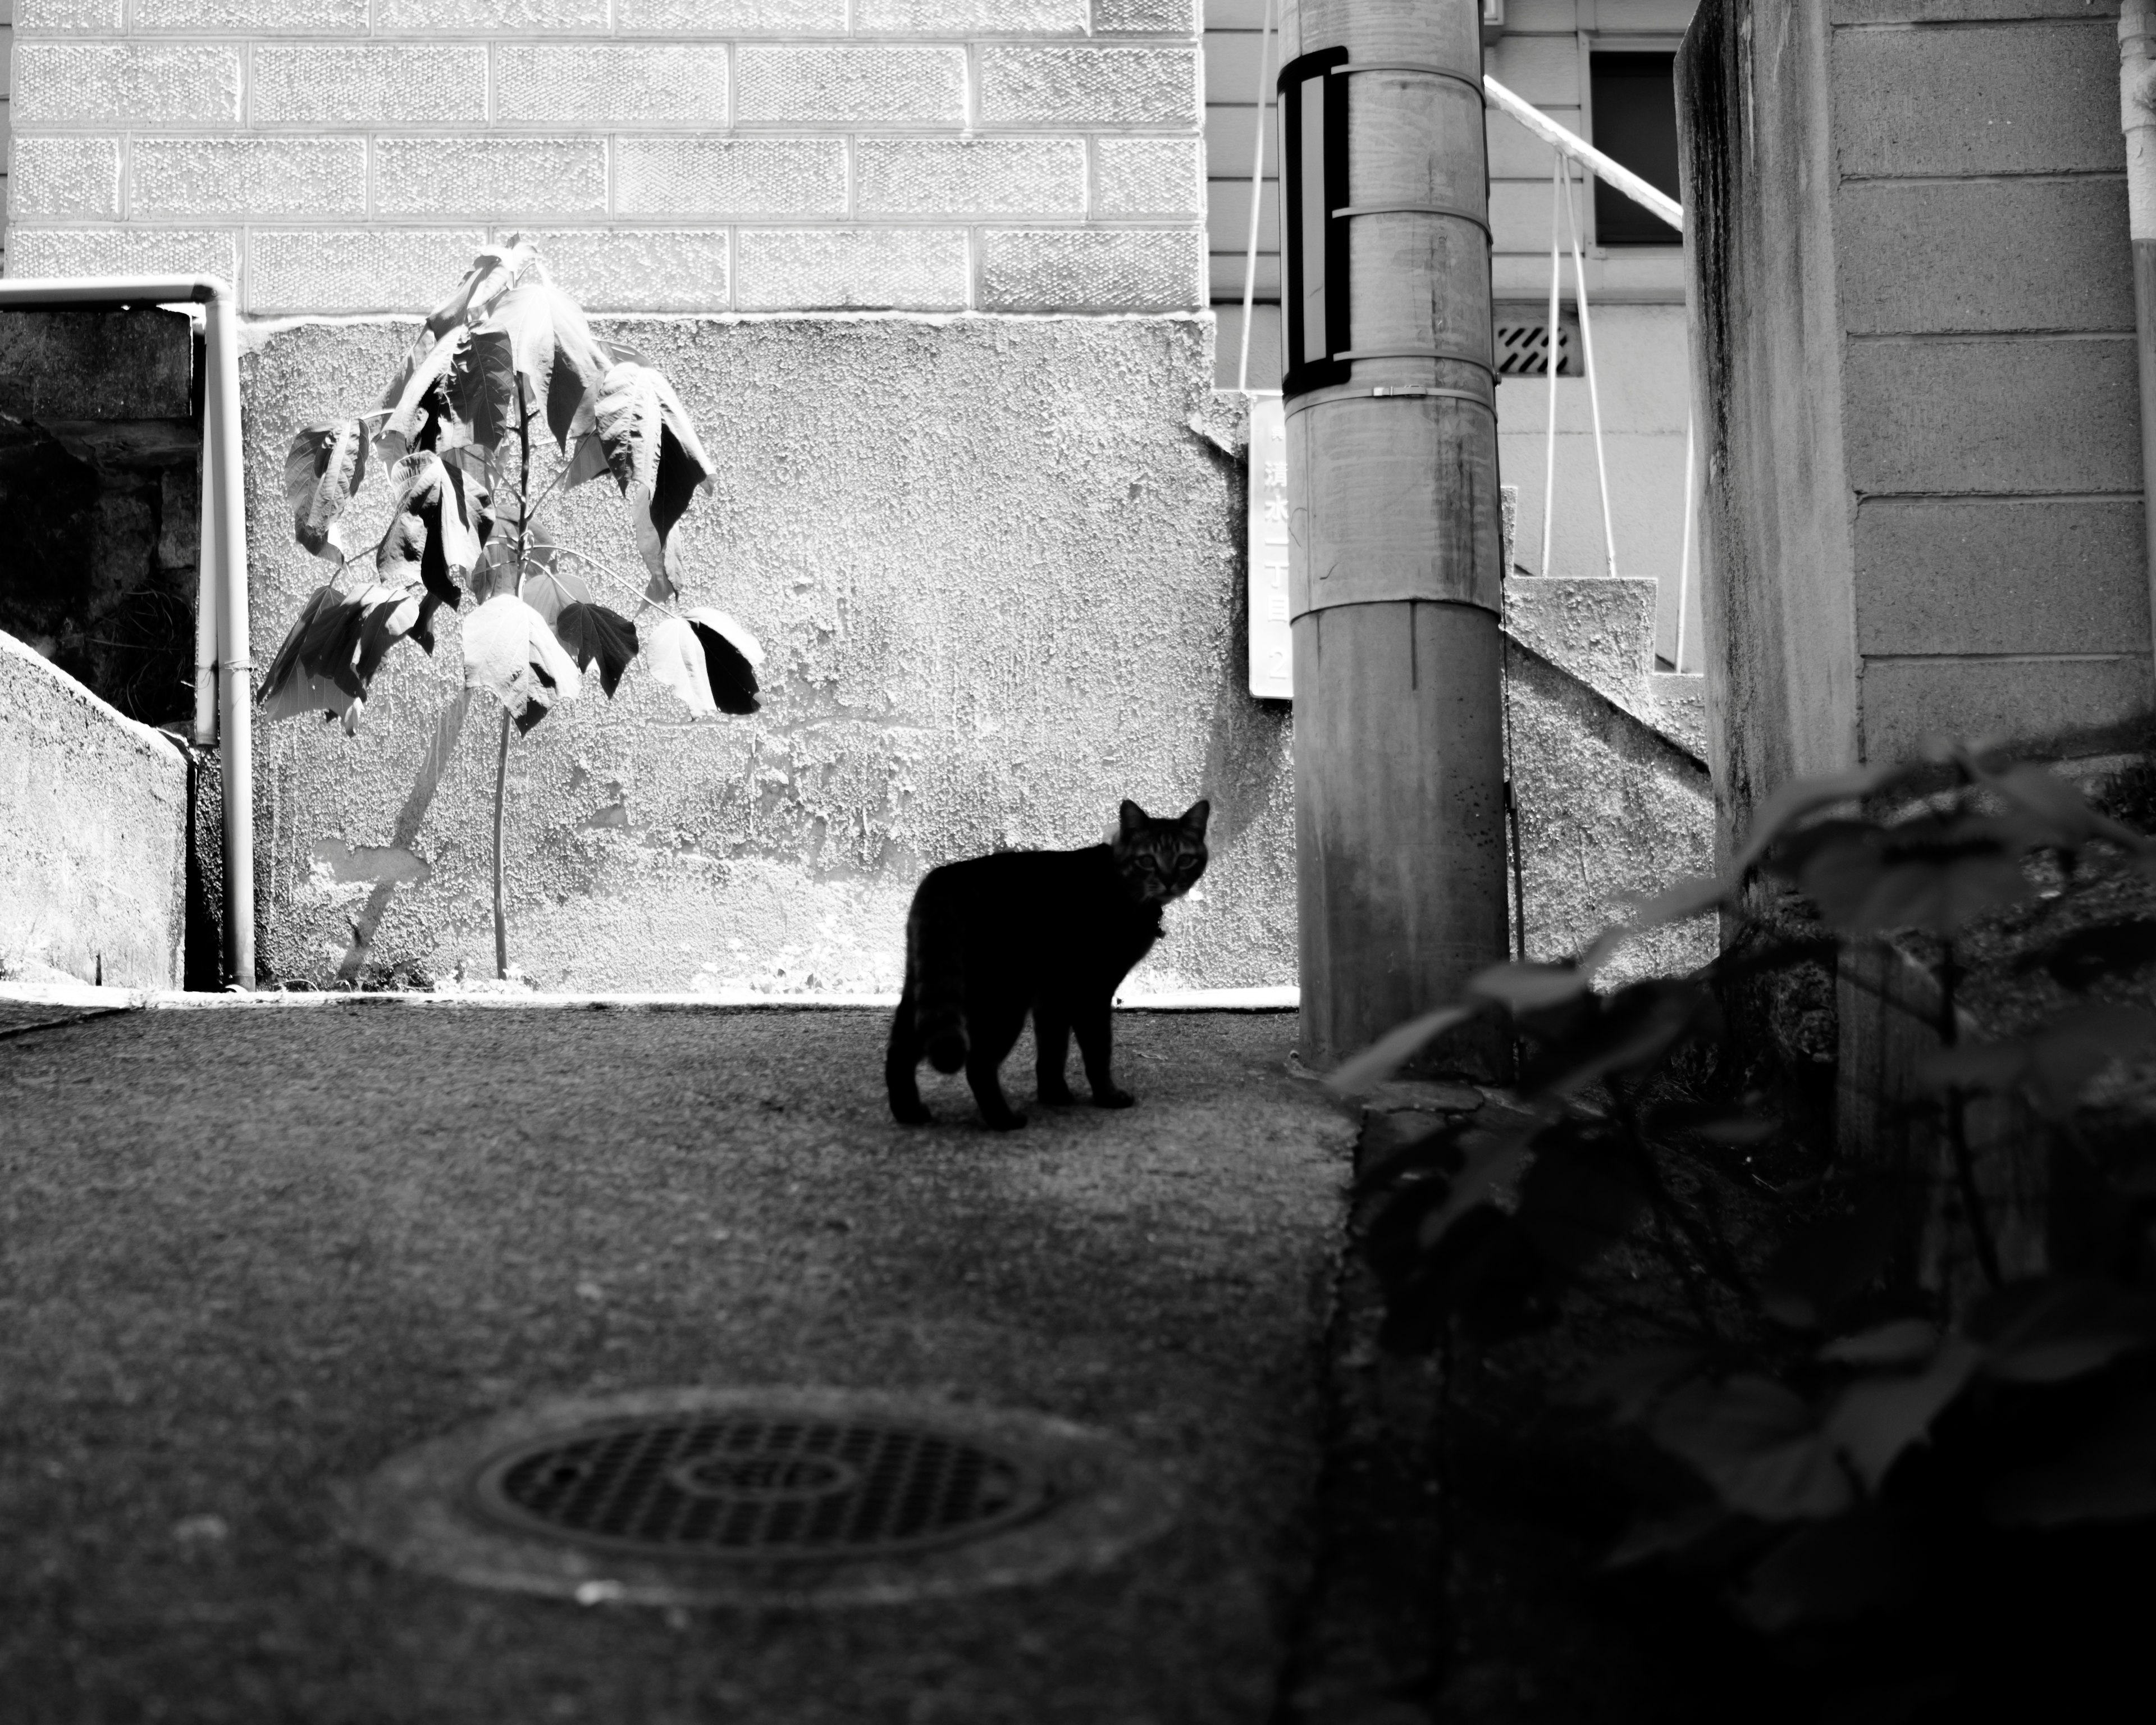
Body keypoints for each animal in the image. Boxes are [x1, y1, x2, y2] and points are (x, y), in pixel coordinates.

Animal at [879, 797, 1216, 1130]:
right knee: (978, 1064)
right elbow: (1098, 1050)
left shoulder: (1052, 995)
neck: (1123, 888)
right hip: (1003, 1000)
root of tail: (945, 876)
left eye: (1184, 860)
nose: (1169, 881)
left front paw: (1054, 1095)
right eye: (1147, 860)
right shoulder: (1091, 990)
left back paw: (908, 1111)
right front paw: (1107, 1096)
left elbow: (1053, 1051)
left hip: (931, 985)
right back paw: (1003, 1120)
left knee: (899, 1050)